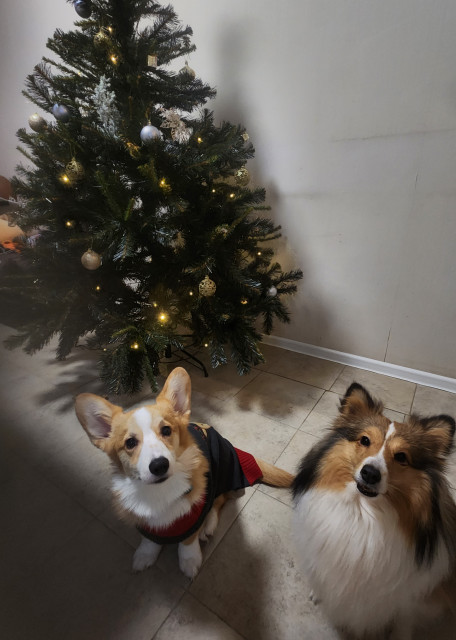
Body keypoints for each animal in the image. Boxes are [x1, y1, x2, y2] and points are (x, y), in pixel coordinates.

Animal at [75, 366, 293, 578]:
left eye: (166, 430)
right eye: (130, 443)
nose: (159, 465)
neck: (159, 492)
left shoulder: (194, 514)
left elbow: (188, 541)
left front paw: (190, 561)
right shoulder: (143, 520)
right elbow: (149, 540)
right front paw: (144, 556)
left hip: (219, 474)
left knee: (220, 500)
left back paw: (209, 526)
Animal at [292, 382, 456, 640]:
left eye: (401, 456)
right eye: (365, 440)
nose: (370, 473)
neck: (363, 513)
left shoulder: (410, 597)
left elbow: (403, 621)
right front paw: (318, 592)